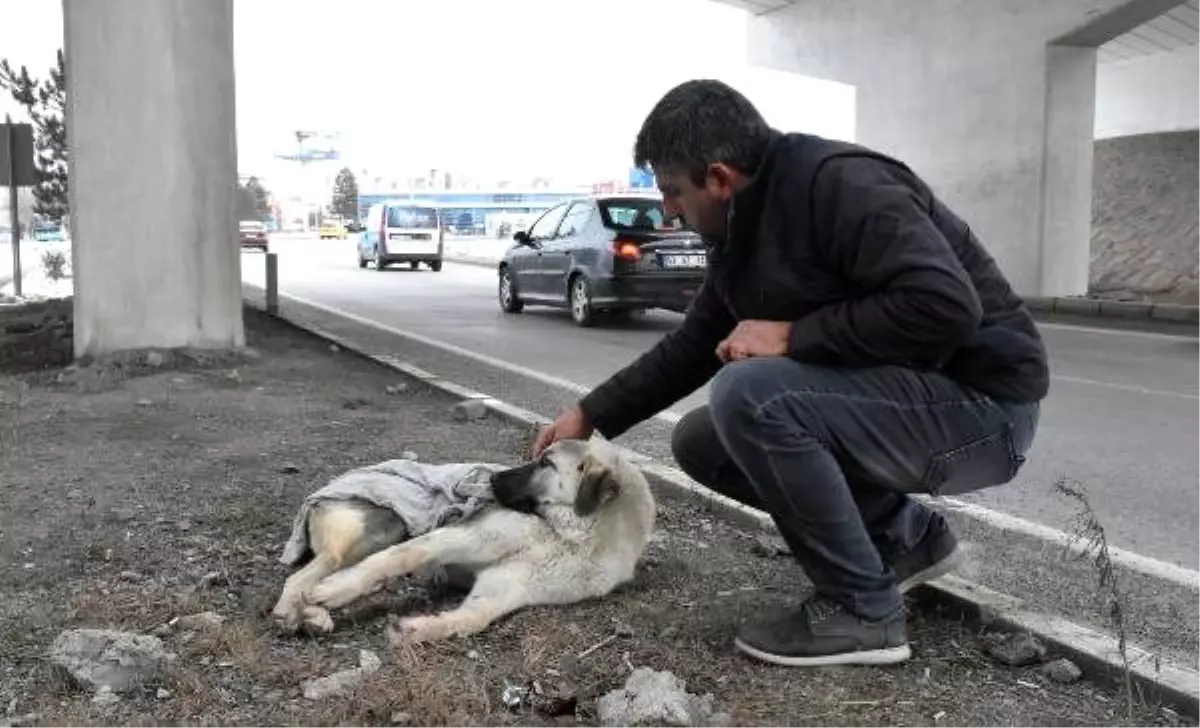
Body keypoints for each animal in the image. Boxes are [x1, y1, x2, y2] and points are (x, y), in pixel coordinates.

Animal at [270, 438, 657, 642]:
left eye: (546, 464)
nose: (491, 479)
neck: (573, 536)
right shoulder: (459, 537)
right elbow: (395, 559)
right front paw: (335, 591)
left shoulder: (509, 588)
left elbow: (470, 620)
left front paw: (417, 628)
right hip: (378, 528)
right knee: (306, 576)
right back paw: (299, 609)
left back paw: (313, 617)